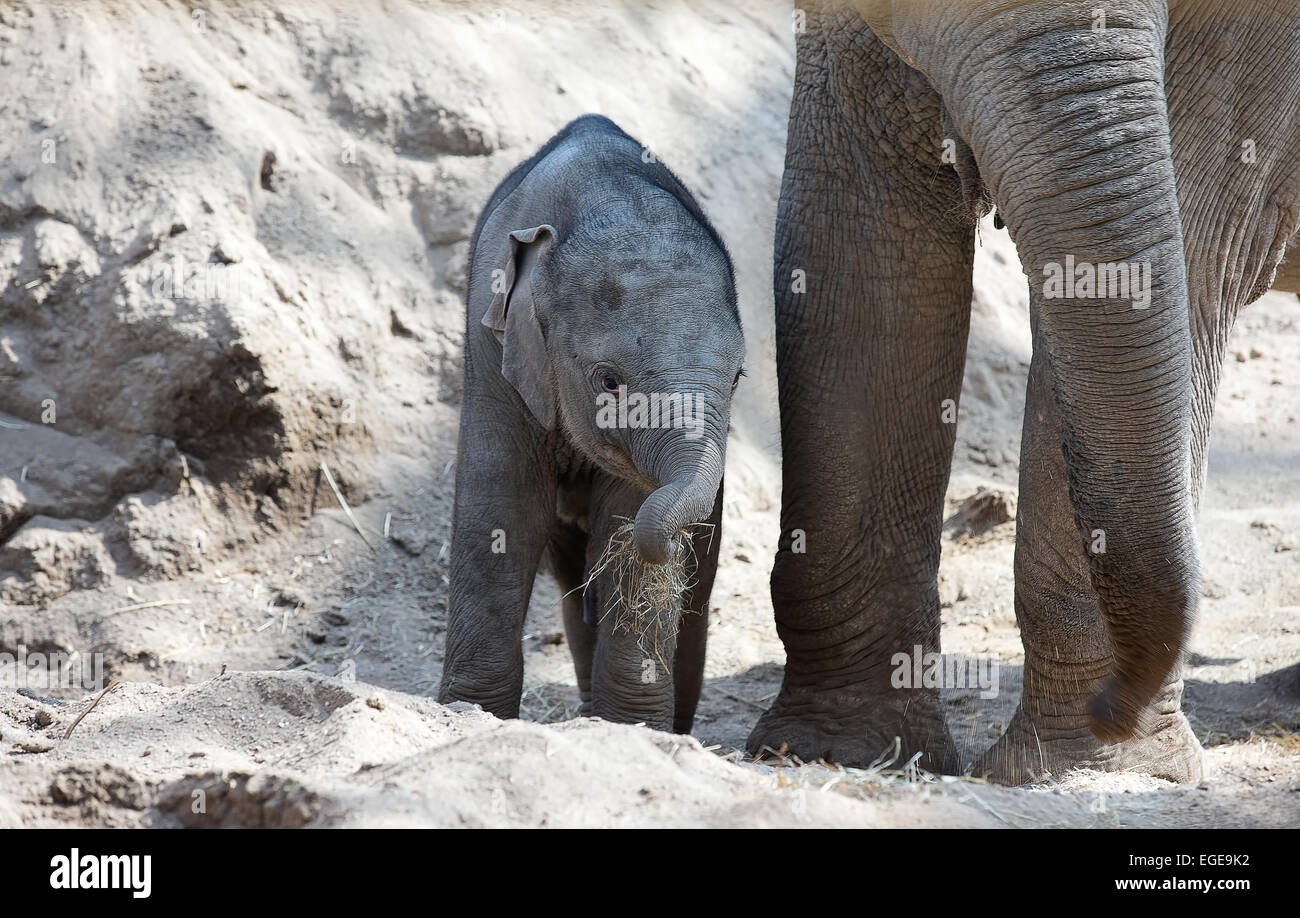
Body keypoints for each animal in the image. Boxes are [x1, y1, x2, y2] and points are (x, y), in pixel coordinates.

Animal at [439, 114, 746, 733]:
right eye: (608, 381)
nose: (665, 544)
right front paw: (470, 711)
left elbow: (622, 517)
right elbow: (501, 509)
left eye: (737, 380)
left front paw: (631, 728)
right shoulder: (492, 351)